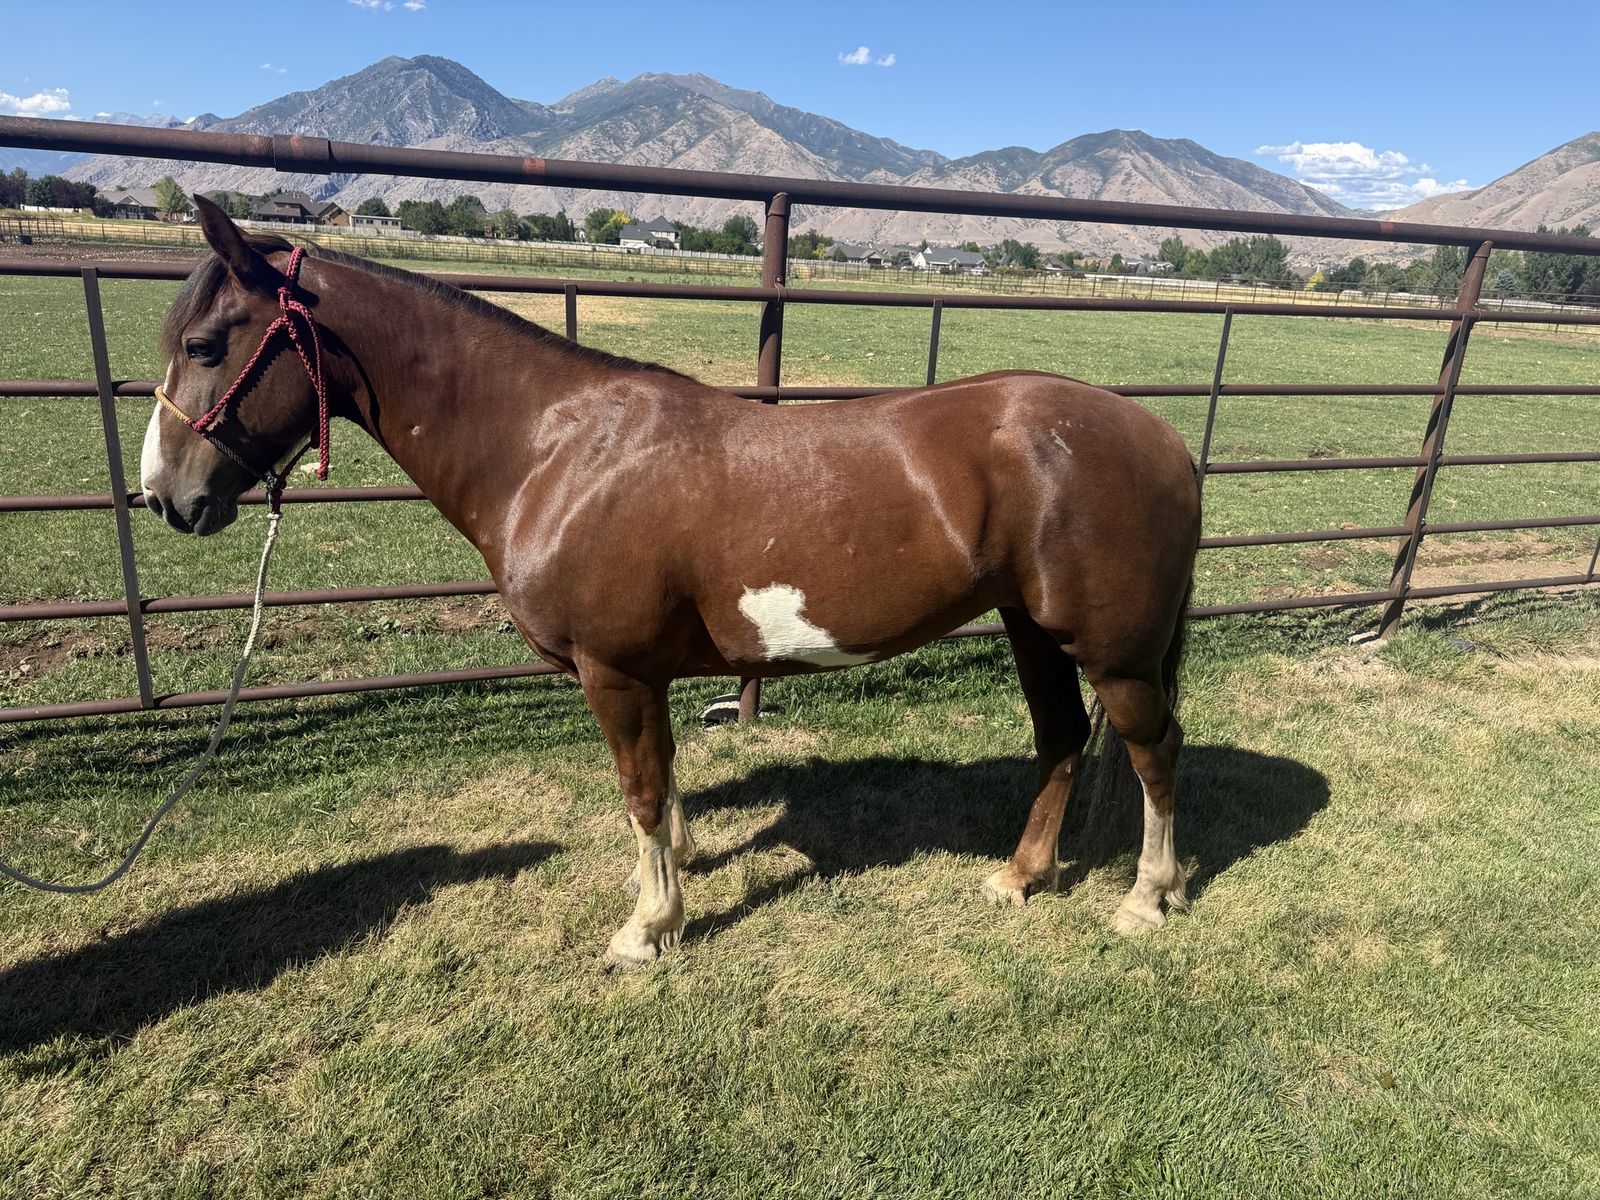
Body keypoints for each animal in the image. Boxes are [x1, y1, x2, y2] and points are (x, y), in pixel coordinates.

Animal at [140, 196, 1201, 968]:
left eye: (205, 346)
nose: (165, 496)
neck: (554, 448)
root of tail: (1161, 437)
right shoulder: (643, 675)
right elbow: (663, 789)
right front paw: (670, 886)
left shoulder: (614, 672)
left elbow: (642, 792)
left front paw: (647, 930)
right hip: (1033, 630)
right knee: (1061, 740)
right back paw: (1020, 877)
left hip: (1112, 652)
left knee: (1154, 754)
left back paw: (1147, 899)